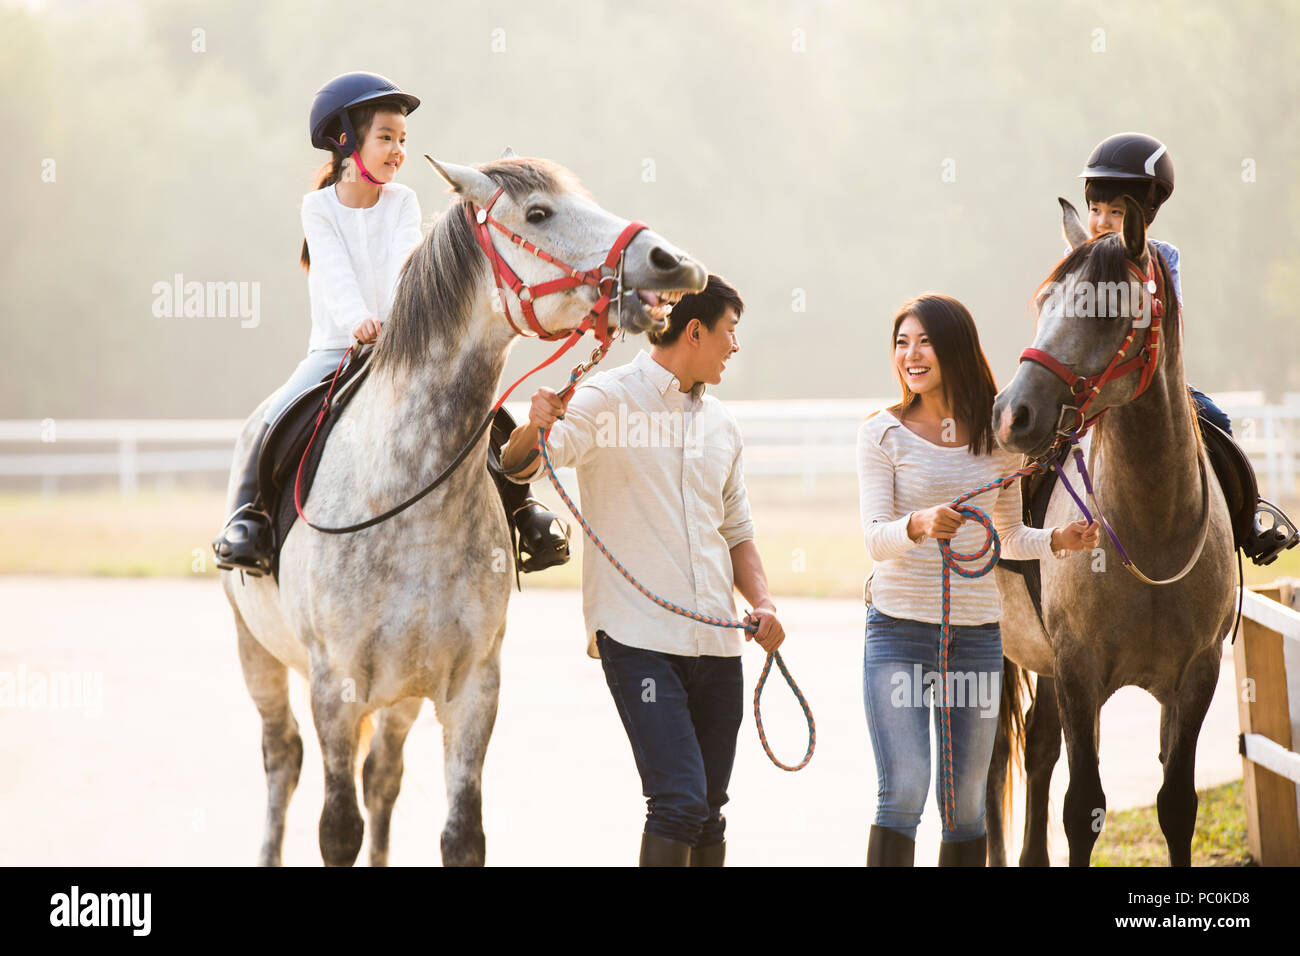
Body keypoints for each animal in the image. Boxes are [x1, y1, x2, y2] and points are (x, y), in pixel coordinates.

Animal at [226, 151, 712, 868]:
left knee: (383, 777)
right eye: (538, 213)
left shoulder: (472, 688)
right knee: (281, 759)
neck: (406, 500)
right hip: (256, 653)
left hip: (401, 693)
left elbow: (461, 835)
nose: (673, 262)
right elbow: (337, 828)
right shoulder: (334, 690)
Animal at [987, 201, 1232, 868]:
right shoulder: (1079, 669)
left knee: (1038, 751)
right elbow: (1083, 808)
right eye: (1045, 300)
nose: (1011, 414)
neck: (1151, 531)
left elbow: (1177, 804)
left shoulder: (1196, 675)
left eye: (1107, 311)